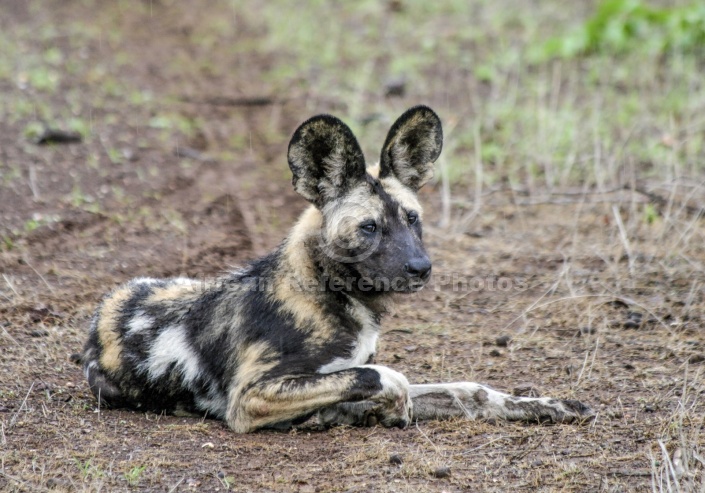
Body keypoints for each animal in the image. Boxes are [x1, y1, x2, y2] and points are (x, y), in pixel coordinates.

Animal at [80, 106, 592, 430]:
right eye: (369, 227)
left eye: (412, 219)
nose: (421, 268)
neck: (337, 297)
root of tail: (103, 312)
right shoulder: (251, 396)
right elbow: (384, 377)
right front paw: (358, 411)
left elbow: (472, 391)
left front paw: (550, 405)